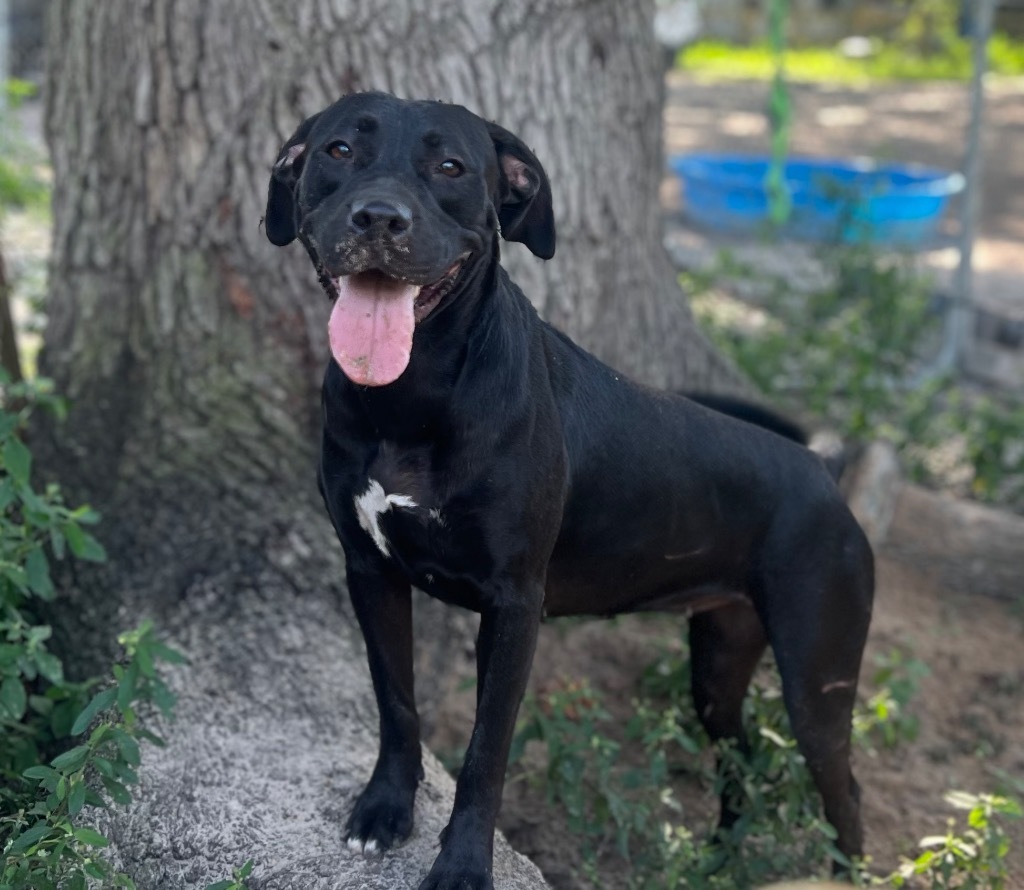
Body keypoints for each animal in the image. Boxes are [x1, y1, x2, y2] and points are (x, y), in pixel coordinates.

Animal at [264, 92, 872, 888]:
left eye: (450, 166)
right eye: (338, 151)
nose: (379, 218)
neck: (413, 395)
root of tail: (823, 474)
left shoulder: (515, 607)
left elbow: (485, 754)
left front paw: (462, 865)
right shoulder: (370, 572)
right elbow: (396, 703)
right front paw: (385, 810)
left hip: (816, 677)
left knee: (845, 791)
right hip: (717, 664)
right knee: (740, 754)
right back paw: (722, 854)